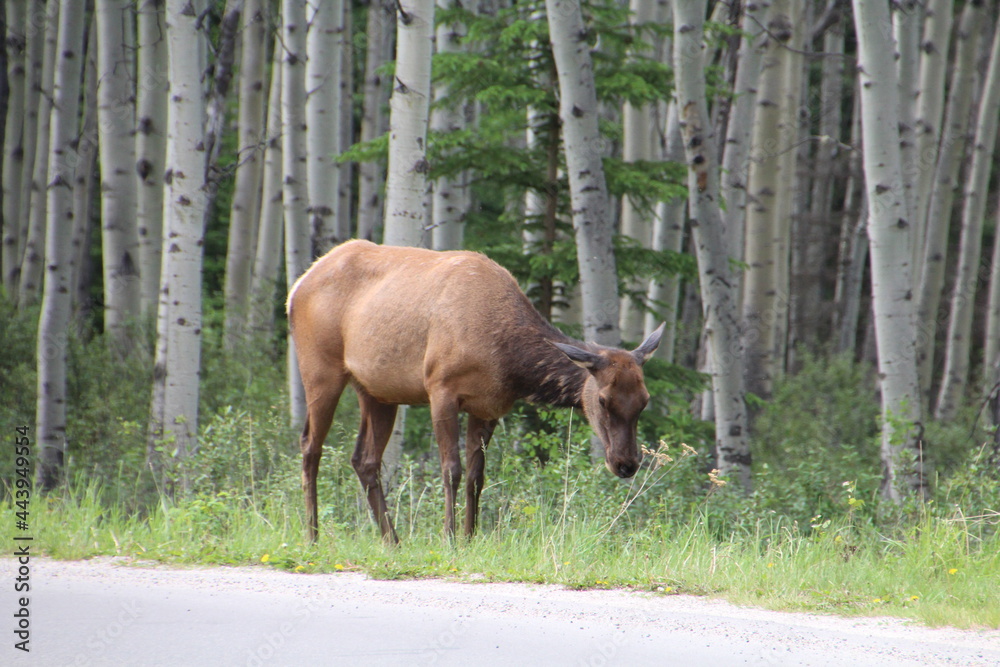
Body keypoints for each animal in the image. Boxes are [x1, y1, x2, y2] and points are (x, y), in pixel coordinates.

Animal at [287, 239, 664, 542]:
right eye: (602, 399)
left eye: (644, 401)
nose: (627, 463)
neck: (506, 359)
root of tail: (298, 285)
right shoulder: (440, 388)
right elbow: (450, 470)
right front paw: (449, 537)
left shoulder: (488, 407)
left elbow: (476, 476)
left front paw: (470, 537)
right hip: (320, 368)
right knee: (310, 445)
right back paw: (312, 535)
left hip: (376, 391)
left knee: (364, 459)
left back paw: (391, 540)